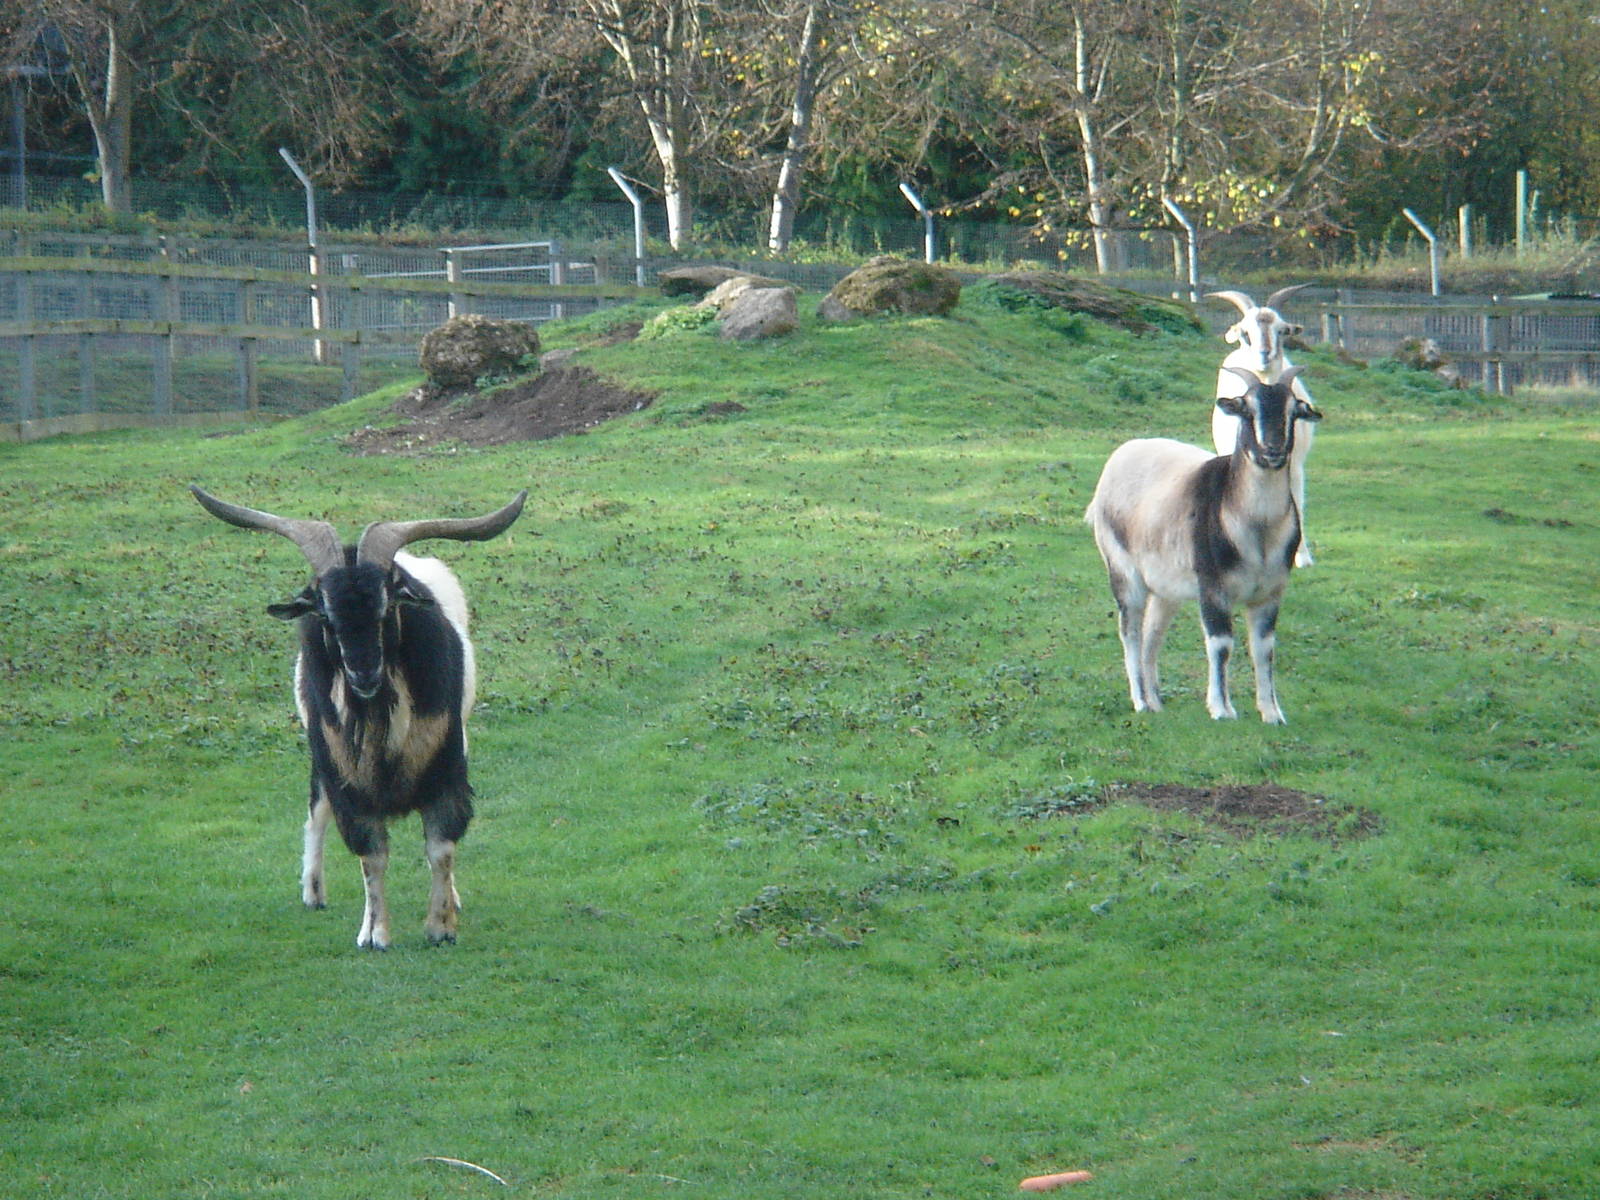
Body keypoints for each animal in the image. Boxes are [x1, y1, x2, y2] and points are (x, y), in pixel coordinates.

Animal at [191, 485, 527, 949]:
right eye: (325, 614)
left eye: (386, 608)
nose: (363, 674)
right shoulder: (346, 778)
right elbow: (371, 855)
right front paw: (375, 933)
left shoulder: (446, 766)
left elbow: (440, 849)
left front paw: (441, 926)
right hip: (320, 760)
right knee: (316, 811)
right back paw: (313, 892)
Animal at [1084, 366, 1320, 723]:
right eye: (1247, 409)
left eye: (1293, 411)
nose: (1272, 451)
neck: (1257, 532)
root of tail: (1120, 456)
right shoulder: (1212, 587)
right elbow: (1221, 644)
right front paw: (1222, 708)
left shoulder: (1270, 592)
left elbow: (1264, 649)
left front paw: (1272, 712)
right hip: (1124, 571)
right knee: (1131, 631)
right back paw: (1141, 701)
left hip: (1166, 589)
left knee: (1152, 635)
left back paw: (1155, 701)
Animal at [1208, 285, 1322, 566]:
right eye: (1246, 333)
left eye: (1282, 330)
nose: (1264, 356)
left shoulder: (1294, 463)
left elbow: (1296, 501)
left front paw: (1302, 556)